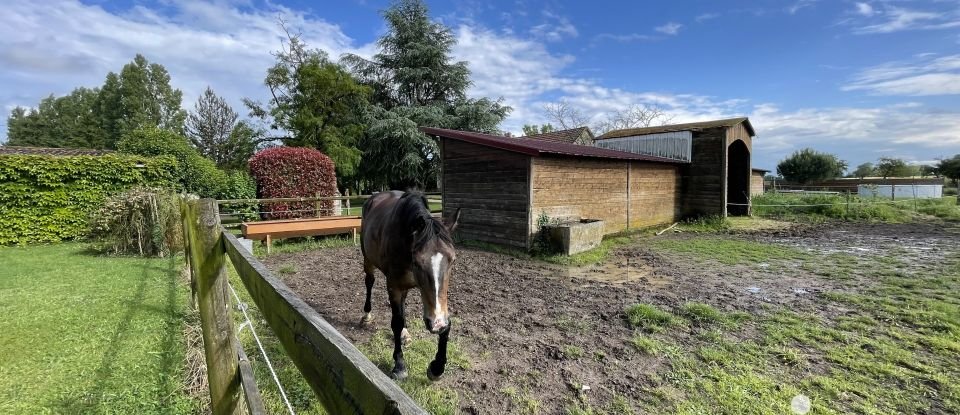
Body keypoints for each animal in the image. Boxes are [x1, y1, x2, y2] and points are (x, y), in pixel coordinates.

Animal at [362, 191, 464, 380]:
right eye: (417, 262)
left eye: (453, 260)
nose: (436, 323)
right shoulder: (394, 286)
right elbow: (396, 321)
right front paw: (399, 365)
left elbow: (447, 325)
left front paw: (437, 367)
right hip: (367, 259)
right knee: (369, 282)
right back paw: (366, 315)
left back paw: (405, 333)